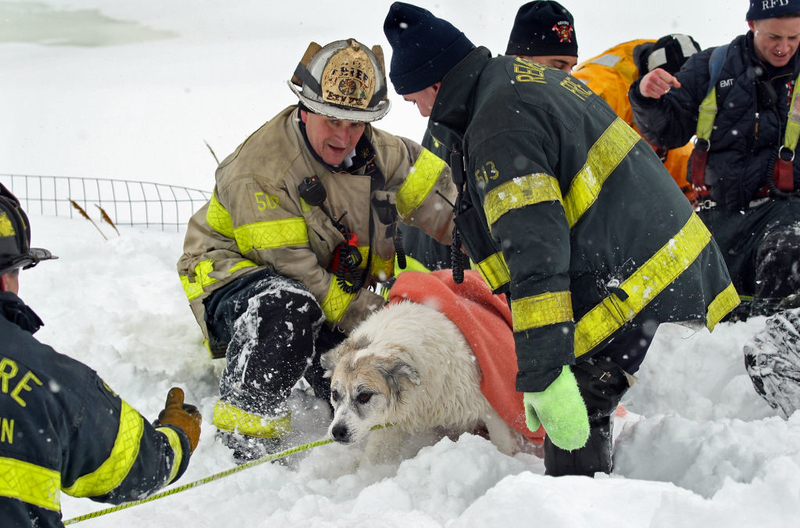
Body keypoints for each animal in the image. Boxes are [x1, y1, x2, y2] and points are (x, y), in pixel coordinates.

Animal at [318, 300, 520, 464]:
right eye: (335, 394)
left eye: (364, 396)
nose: (337, 431)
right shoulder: (392, 424)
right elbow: (373, 462)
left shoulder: (490, 409)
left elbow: (502, 444)